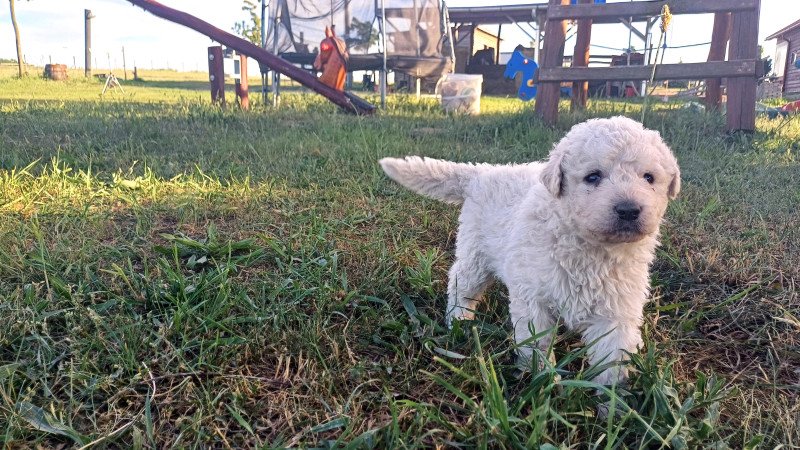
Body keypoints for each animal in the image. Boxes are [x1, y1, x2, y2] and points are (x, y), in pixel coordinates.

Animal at [382, 115, 680, 384]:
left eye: (649, 177)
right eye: (593, 177)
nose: (629, 209)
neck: (591, 248)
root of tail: (483, 172)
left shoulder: (617, 307)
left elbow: (612, 354)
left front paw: (613, 397)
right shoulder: (533, 296)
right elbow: (536, 342)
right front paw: (543, 380)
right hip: (476, 252)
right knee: (461, 282)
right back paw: (459, 319)